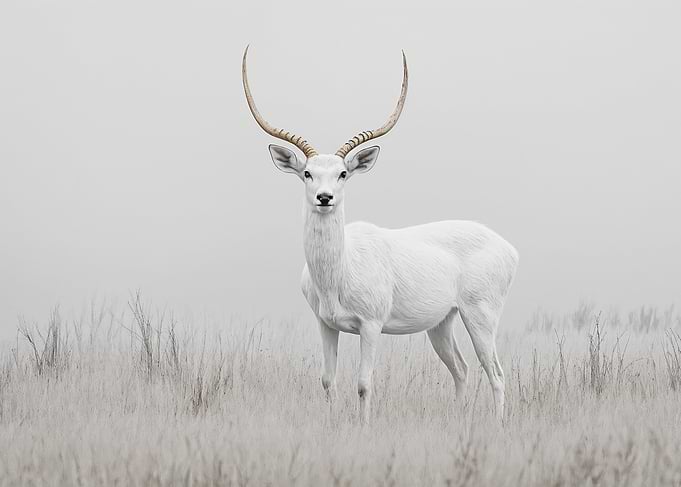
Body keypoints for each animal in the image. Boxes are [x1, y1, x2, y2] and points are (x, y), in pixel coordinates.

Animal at [242, 47, 519, 424]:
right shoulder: (326, 324)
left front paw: (364, 427)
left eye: (343, 173)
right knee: (461, 369)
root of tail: (508, 249)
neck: (338, 271)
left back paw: (498, 424)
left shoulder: (371, 326)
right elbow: (327, 380)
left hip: (480, 317)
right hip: (441, 323)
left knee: (497, 373)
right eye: (307, 173)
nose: (324, 198)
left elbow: (363, 384)